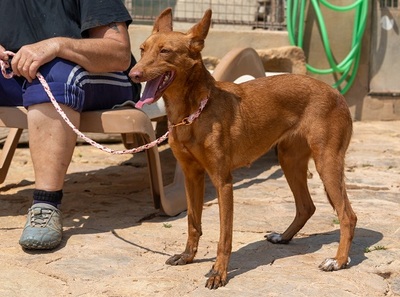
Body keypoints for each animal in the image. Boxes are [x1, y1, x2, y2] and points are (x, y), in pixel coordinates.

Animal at [130, 8, 358, 288]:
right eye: (142, 49)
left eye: (165, 51)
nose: (133, 75)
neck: (192, 112)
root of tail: (337, 94)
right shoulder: (191, 176)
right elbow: (192, 222)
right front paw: (187, 256)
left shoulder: (223, 181)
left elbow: (224, 236)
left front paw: (218, 273)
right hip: (289, 160)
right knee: (307, 206)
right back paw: (284, 237)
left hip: (327, 162)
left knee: (347, 215)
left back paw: (338, 261)